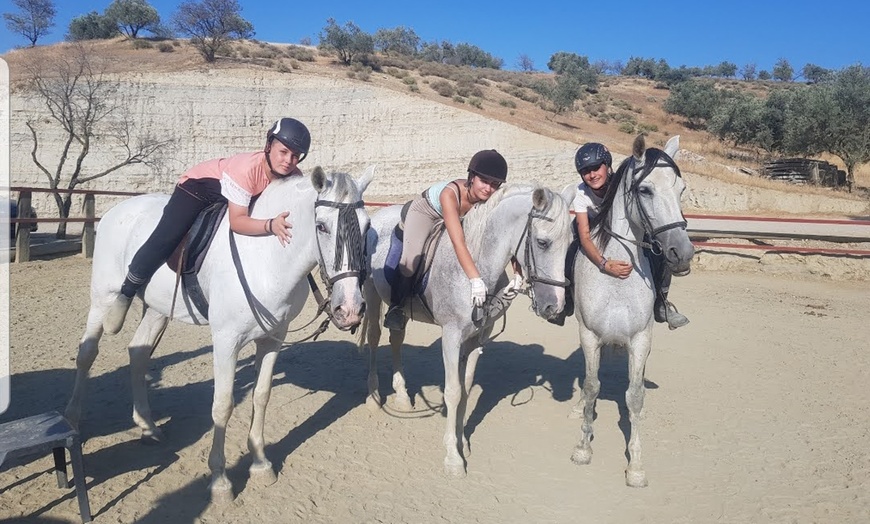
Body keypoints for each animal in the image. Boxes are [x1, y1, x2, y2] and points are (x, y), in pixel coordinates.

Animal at [63, 166, 372, 502]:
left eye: (367, 227)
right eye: (321, 226)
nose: (350, 308)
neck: (264, 258)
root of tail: (115, 211)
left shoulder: (273, 338)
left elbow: (261, 396)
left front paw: (261, 464)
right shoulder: (226, 341)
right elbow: (222, 406)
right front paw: (220, 481)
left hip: (158, 309)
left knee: (139, 352)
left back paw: (147, 425)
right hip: (102, 299)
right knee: (87, 353)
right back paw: (72, 420)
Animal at [358, 186, 576, 476]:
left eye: (570, 242)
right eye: (542, 243)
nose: (555, 307)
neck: (475, 268)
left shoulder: (476, 338)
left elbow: (467, 388)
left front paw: (462, 443)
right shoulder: (450, 337)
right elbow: (453, 392)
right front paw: (453, 458)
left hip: (400, 310)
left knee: (396, 339)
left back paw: (403, 396)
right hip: (372, 294)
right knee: (374, 338)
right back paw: (373, 397)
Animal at [572, 135, 696, 488]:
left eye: (681, 188)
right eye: (645, 190)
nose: (683, 253)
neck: (618, 279)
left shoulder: (640, 340)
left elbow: (635, 396)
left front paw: (636, 466)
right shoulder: (589, 337)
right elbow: (591, 387)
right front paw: (583, 448)